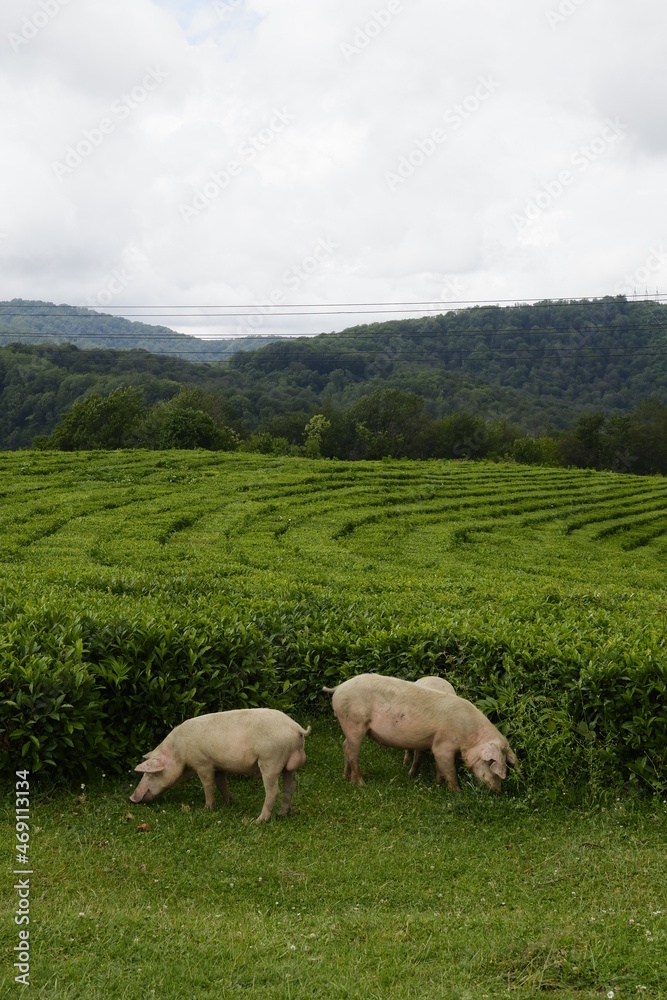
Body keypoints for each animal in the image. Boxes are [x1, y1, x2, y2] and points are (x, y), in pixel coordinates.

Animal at [129, 708, 312, 824]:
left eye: (150, 773)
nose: (131, 798)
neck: (179, 751)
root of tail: (296, 728)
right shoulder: (218, 766)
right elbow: (221, 783)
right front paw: (229, 803)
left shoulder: (202, 762)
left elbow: (208, 785)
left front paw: (207, 809)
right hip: (288, 766)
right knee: (290, 787)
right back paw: (282, 815)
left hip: (270, 759)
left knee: (274, 791)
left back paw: (258, 821)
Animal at [326, 676, 520, 792]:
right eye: (491, 764)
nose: (497, 790)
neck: (469, 736)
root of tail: (338, 688)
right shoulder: (443, 745)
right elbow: (449, 769)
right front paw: (456, 791)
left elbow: (440, 767)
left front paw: (438, 782)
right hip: (354, 722)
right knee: (353, 752)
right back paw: (361, 784)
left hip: (351, 726)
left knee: (345, 746)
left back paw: (346, 778)